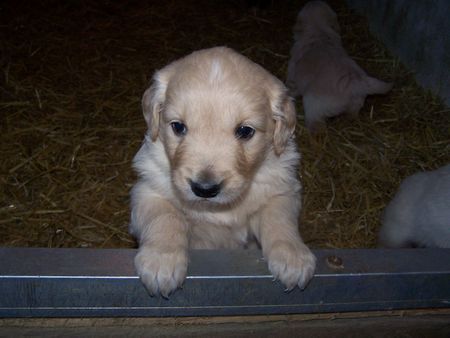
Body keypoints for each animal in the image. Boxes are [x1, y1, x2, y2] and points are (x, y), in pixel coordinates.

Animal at [128, 46, 314, 298]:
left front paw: (293, 256)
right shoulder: (147, 189)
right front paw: (161, 261)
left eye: (245, 131)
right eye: (178, 126)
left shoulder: (282, 189)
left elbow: (279, 218)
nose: (205, 189)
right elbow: (164, 215)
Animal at [286, 0, 392, 132]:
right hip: (356, 104)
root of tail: (356, 83)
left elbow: (291, 86)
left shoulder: (293, 71)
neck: (319, 30)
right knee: (351, 115)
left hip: (312, 103)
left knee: (316, 123)